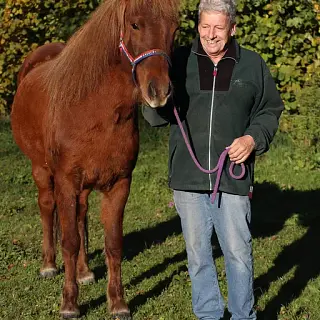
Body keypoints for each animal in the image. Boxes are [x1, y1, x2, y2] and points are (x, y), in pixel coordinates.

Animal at [10, 1, 180, 318]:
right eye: (135, 24)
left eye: (174, 30)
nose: (160, 91)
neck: (92, 109)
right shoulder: (66, 181)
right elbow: (69, 242)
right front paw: (69, 304)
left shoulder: (119, 183)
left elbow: (112, 243)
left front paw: (118, 303)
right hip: (41, 171)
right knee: (47, 207)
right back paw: (48, 266)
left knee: (80, 215)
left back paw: (85, 272)